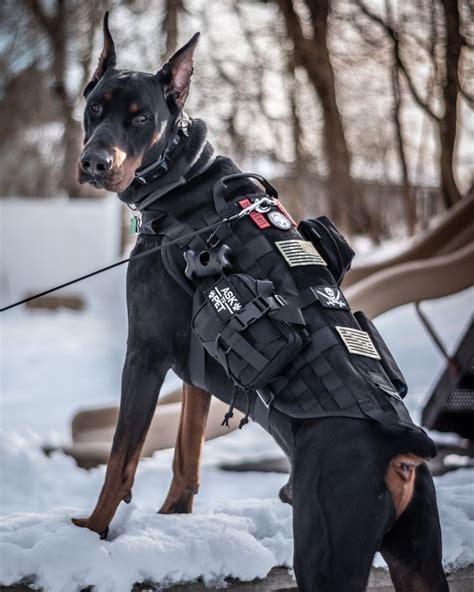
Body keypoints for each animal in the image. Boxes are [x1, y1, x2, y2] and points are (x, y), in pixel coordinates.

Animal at [73, 16, 448, 588]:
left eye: (141, 119)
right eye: (95, 107)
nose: (94, 162)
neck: (183, 177)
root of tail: (401, 447)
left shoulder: (145, 351)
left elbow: (121, 459)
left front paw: (91, 532)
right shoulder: (193, 368)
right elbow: (187, 449)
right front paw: (174, 517)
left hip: (327, 545)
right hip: (419, 558)